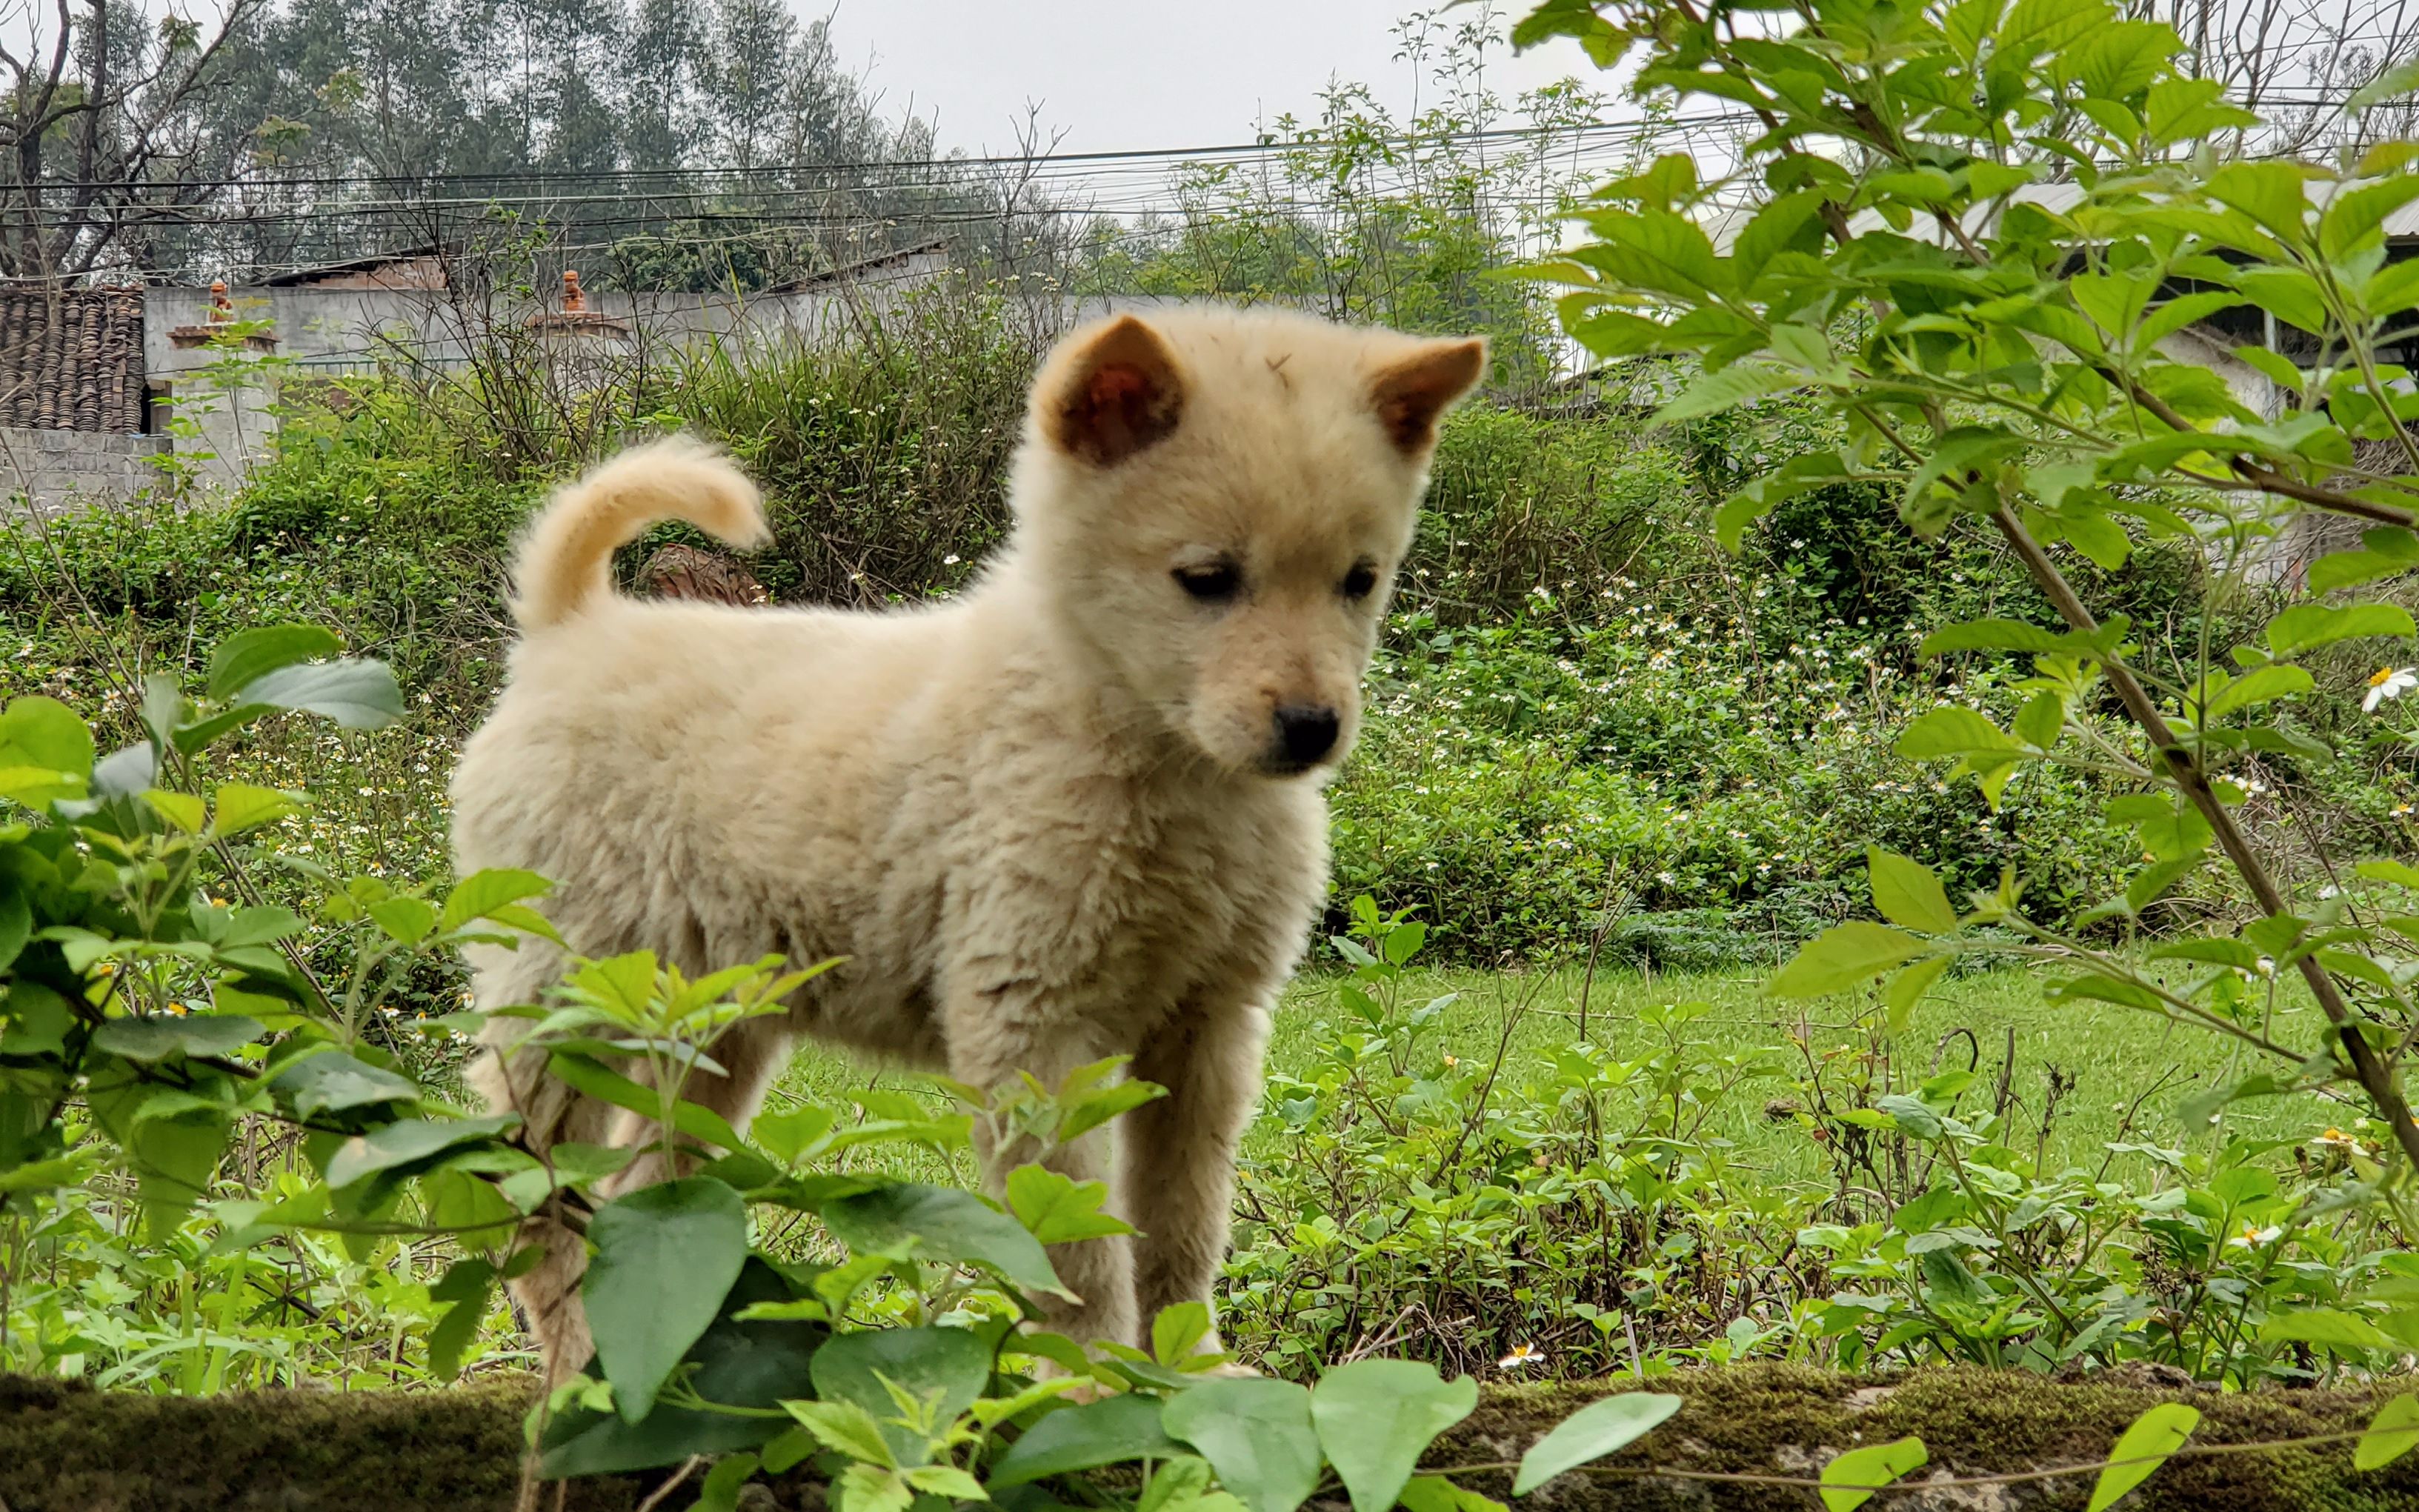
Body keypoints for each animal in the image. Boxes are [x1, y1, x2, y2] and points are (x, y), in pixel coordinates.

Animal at [450, 301, 1471, 1373]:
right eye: (1207, 579)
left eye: (1359, 581)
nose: (1313, 727)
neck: (1141, 743)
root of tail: (569, 629)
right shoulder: (1029, 1020)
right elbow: (1076, 1250)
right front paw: (1094, 1383)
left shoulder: (1209, 1028)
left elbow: (1184, 1223)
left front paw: (1190, 1369)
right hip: (564, 987)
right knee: (525, 1180)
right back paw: (578, 1361)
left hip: (713, 1021)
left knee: (645, 1189)